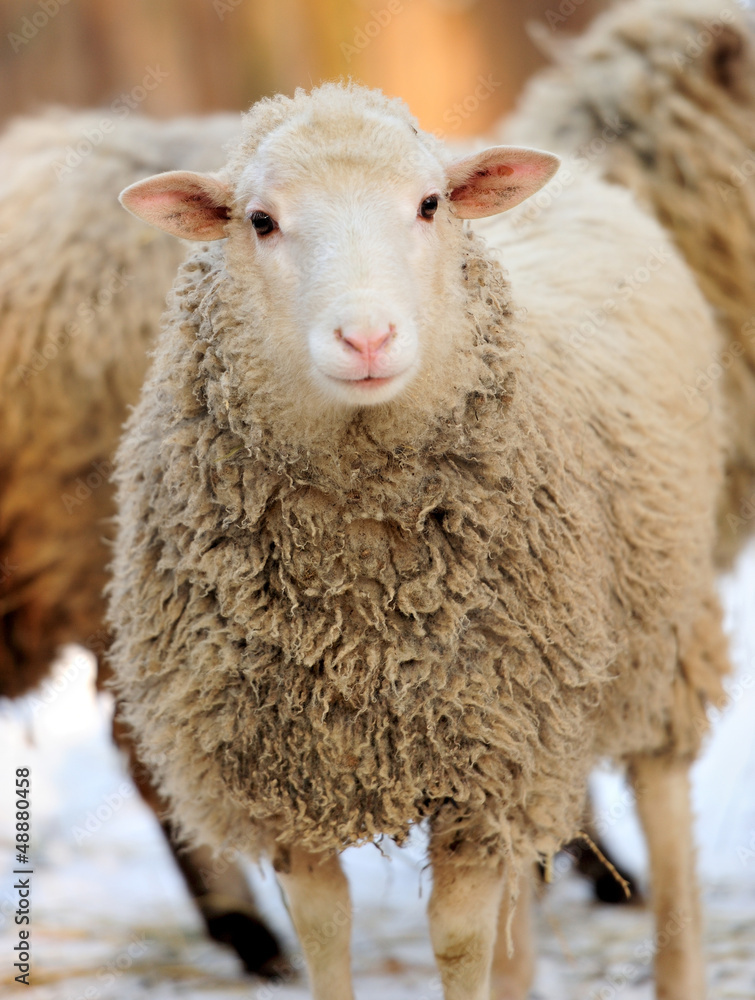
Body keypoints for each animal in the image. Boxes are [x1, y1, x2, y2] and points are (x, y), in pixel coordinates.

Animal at [108, 81, 730, 1000]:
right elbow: (329, 933)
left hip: (660, 639)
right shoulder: (289, 777)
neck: (357, 615)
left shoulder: (483, 765)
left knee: (664, 811)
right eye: (259, 220)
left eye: (430, 205)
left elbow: (458, 941)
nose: (366, 339)